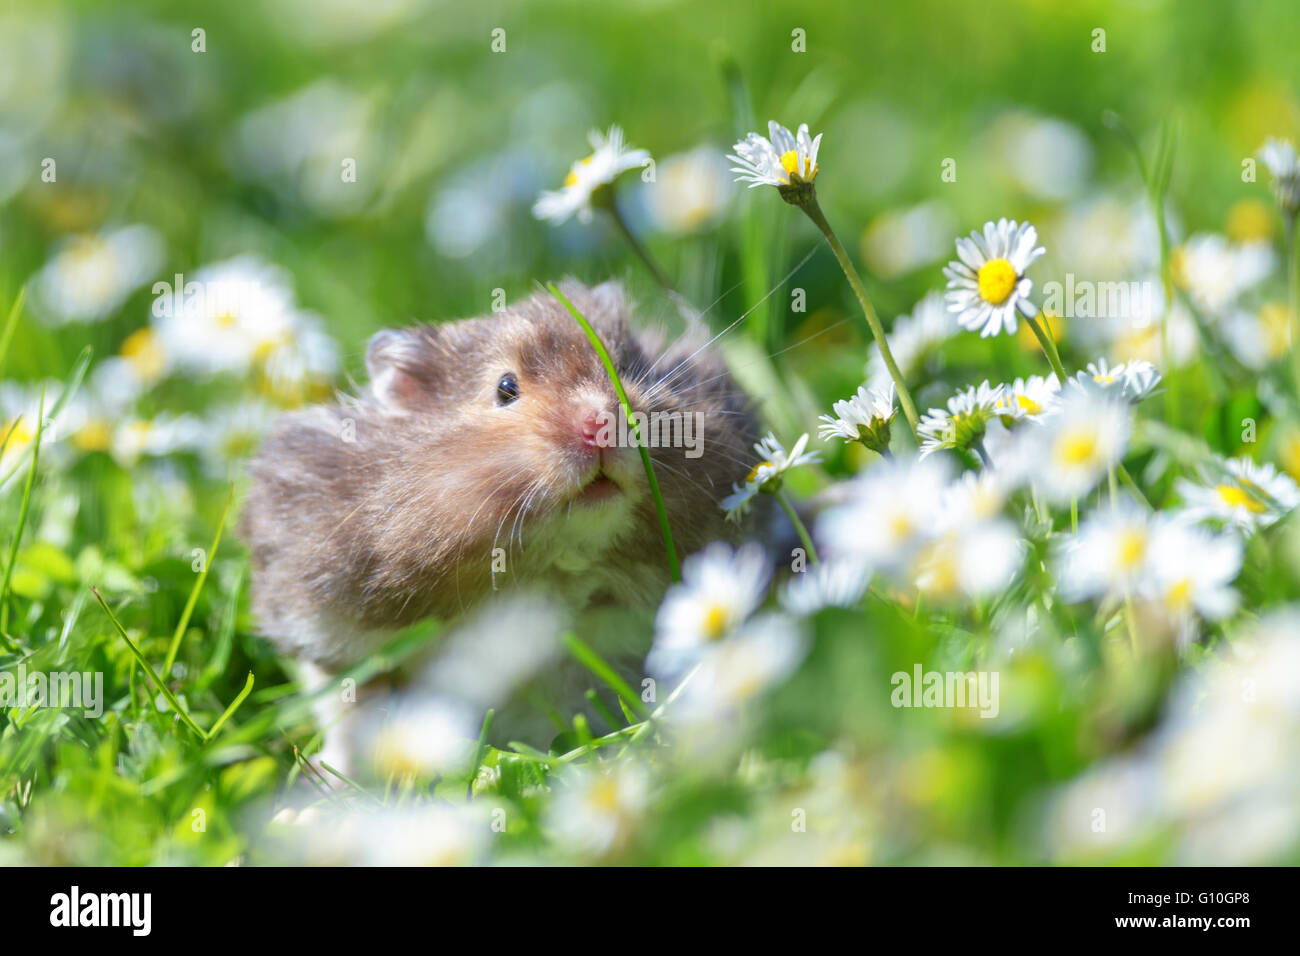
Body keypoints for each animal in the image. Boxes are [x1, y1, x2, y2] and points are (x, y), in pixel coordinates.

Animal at [239, 280, 759, 775]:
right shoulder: (329, 629)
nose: (601, 425)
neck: (550, 563)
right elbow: (349, 715)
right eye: (506, 388)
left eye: (626, 368)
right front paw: (328, 785)